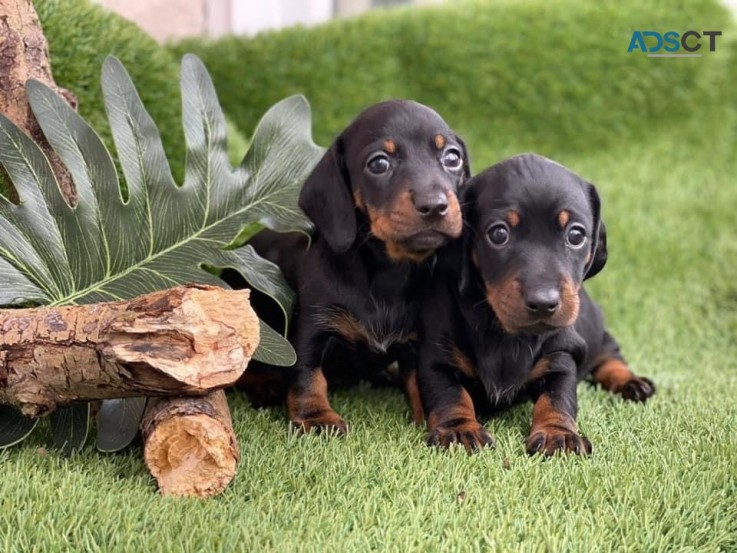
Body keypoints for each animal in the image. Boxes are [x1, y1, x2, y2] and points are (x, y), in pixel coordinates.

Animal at [244, 101, 468, 434]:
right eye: (379, 163)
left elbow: (421, 380)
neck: (387, 276)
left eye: (453, 158)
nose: (435, 206)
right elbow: (307, 374)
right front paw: (316, 416)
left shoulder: (417, 341)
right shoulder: (311, 327)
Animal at [416, 151, 652, 452]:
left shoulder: (561, 356)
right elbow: (450, 394)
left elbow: (557, 397)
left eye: (576, 235)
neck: (503, 331)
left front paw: (557, 433)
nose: (543, 302)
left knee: (610, 354)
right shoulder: (437, 354)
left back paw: (631, 382)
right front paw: (459, 429)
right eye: (499, 233)